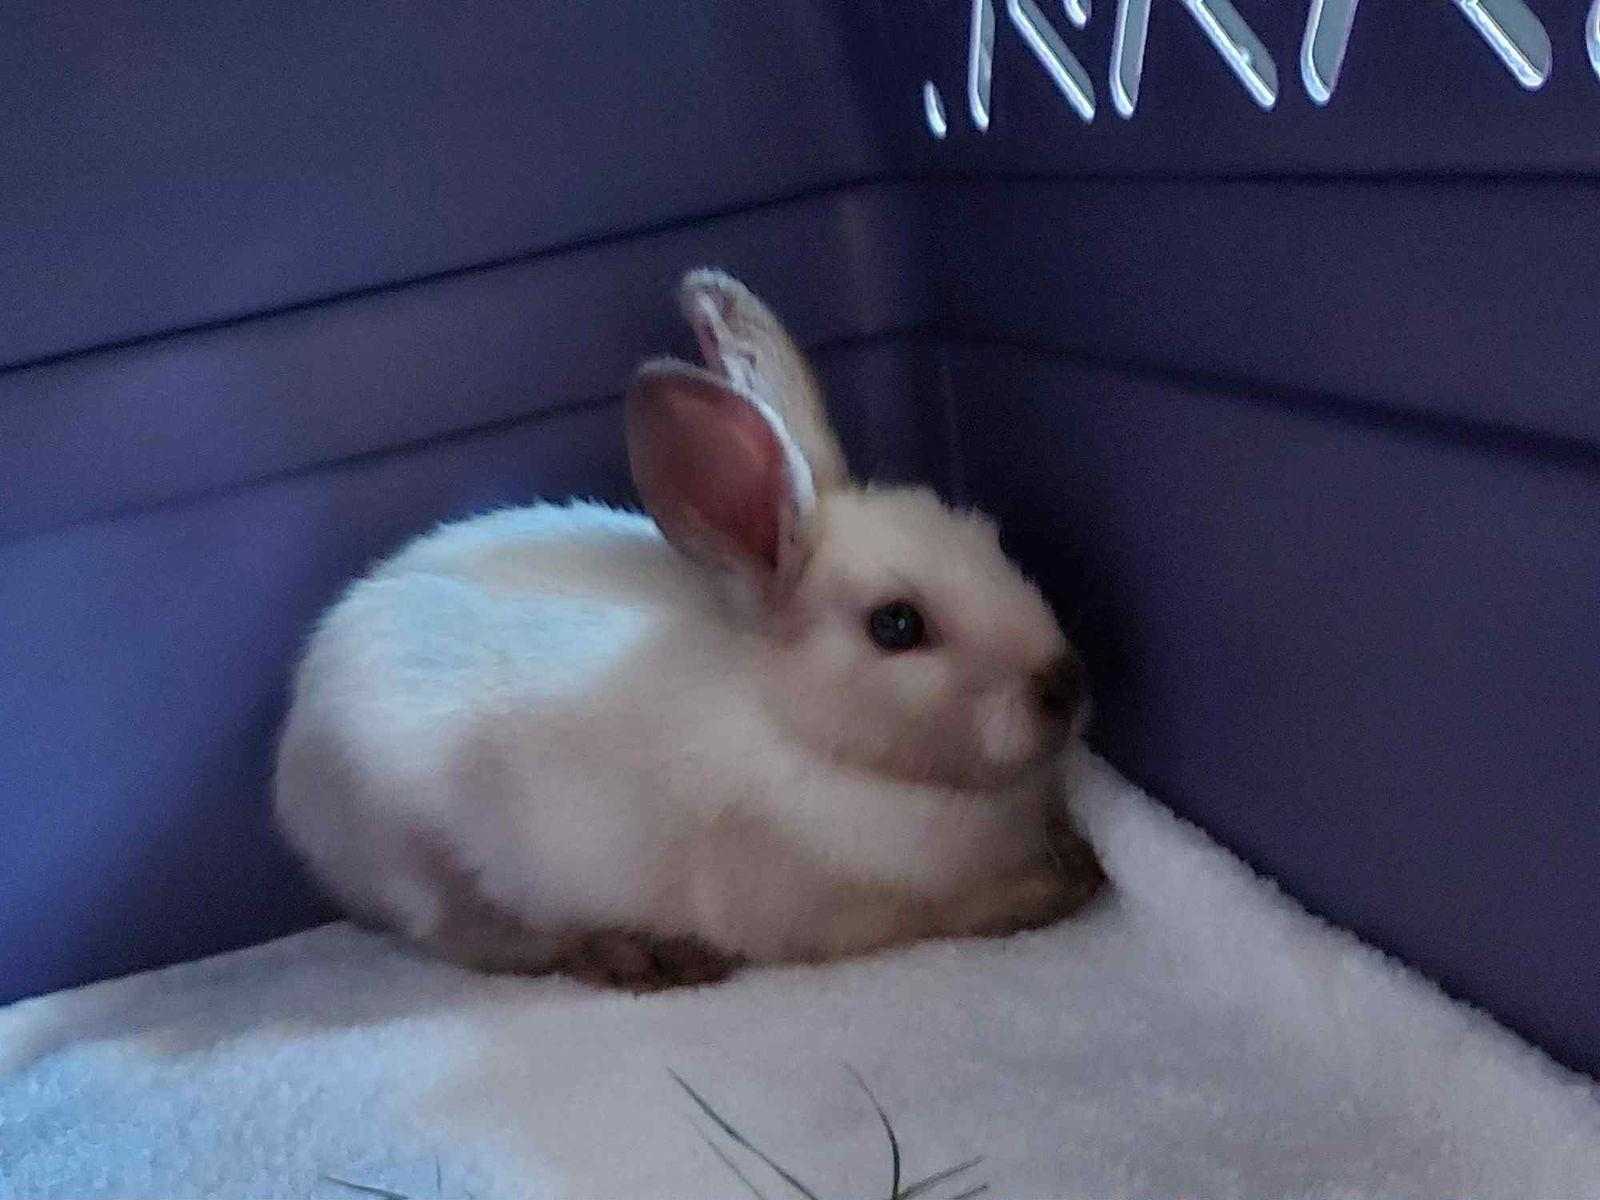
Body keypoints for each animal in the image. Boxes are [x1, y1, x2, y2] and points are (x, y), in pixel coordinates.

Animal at [273, 268, 1105, 991]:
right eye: (896, 625)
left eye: (989, 539)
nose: (1067, 684)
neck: (800, 729)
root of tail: (291, 772)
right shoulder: (831, 910)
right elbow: (947, 911)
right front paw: (1059, 886)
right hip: (429, 857)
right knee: (487, 940)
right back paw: (639, 957)